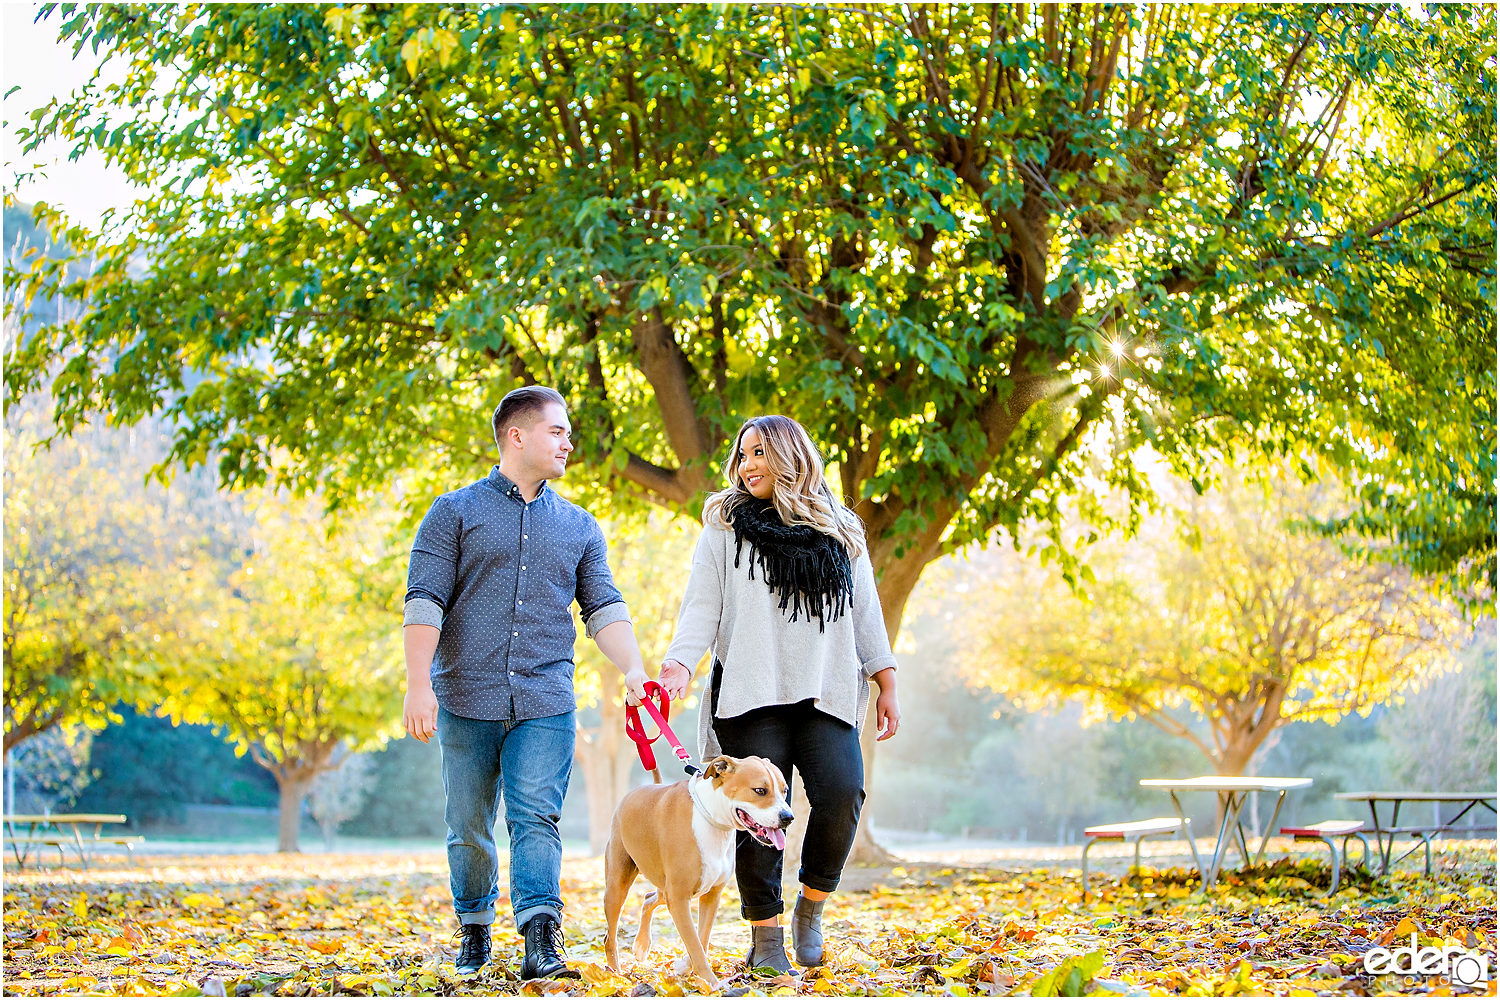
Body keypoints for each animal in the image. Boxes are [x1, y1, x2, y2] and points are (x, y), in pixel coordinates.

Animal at [606, 758, 804, 983]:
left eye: (785, 790)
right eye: (760, 790)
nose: (788, 817)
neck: (712, 818)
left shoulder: (710, 897)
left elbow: (701, 940)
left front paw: (686, 965)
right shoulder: (679, 898)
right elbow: (695, 944)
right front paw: (712, 984)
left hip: (664, 888)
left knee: (649, 899)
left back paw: (641, 945)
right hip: (618, 887)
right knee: (610, 936)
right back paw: (615, 975)